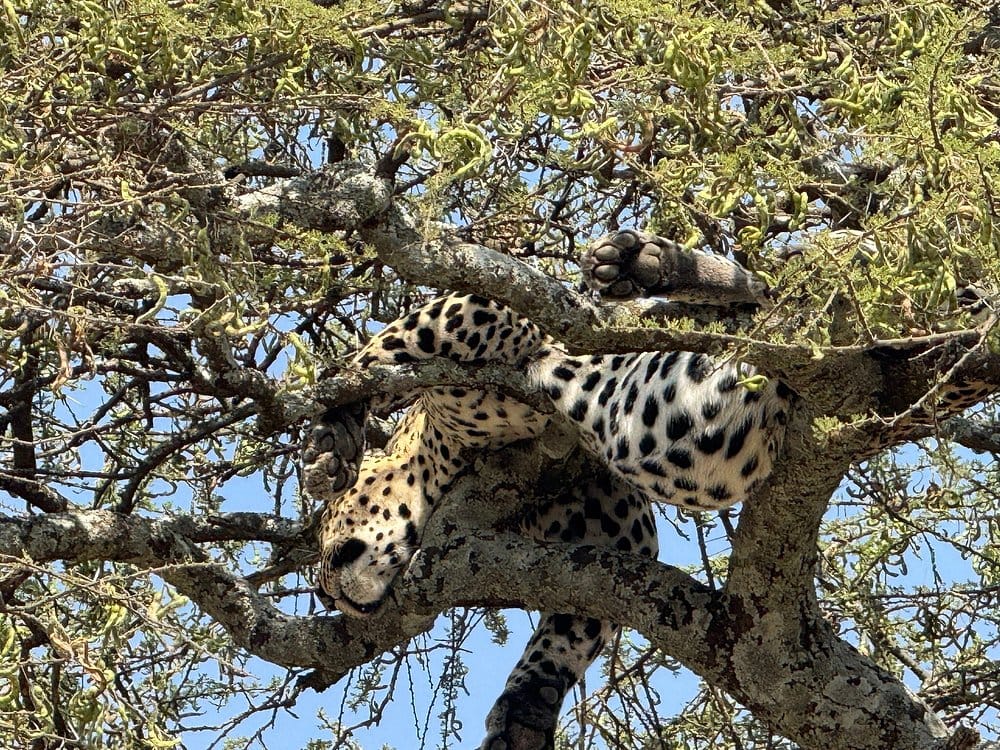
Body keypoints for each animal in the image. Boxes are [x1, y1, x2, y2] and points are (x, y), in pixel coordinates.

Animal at [300, 229, 795, 749]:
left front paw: (334, 438)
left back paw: (645, 267)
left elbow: (383, 351)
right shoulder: (616, 532)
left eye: (325, 526)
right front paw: (528, 707)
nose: (323, 596)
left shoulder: (476, 310)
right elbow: (571, 626)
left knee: (763, 299)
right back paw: (647, 264)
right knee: (761, 297)